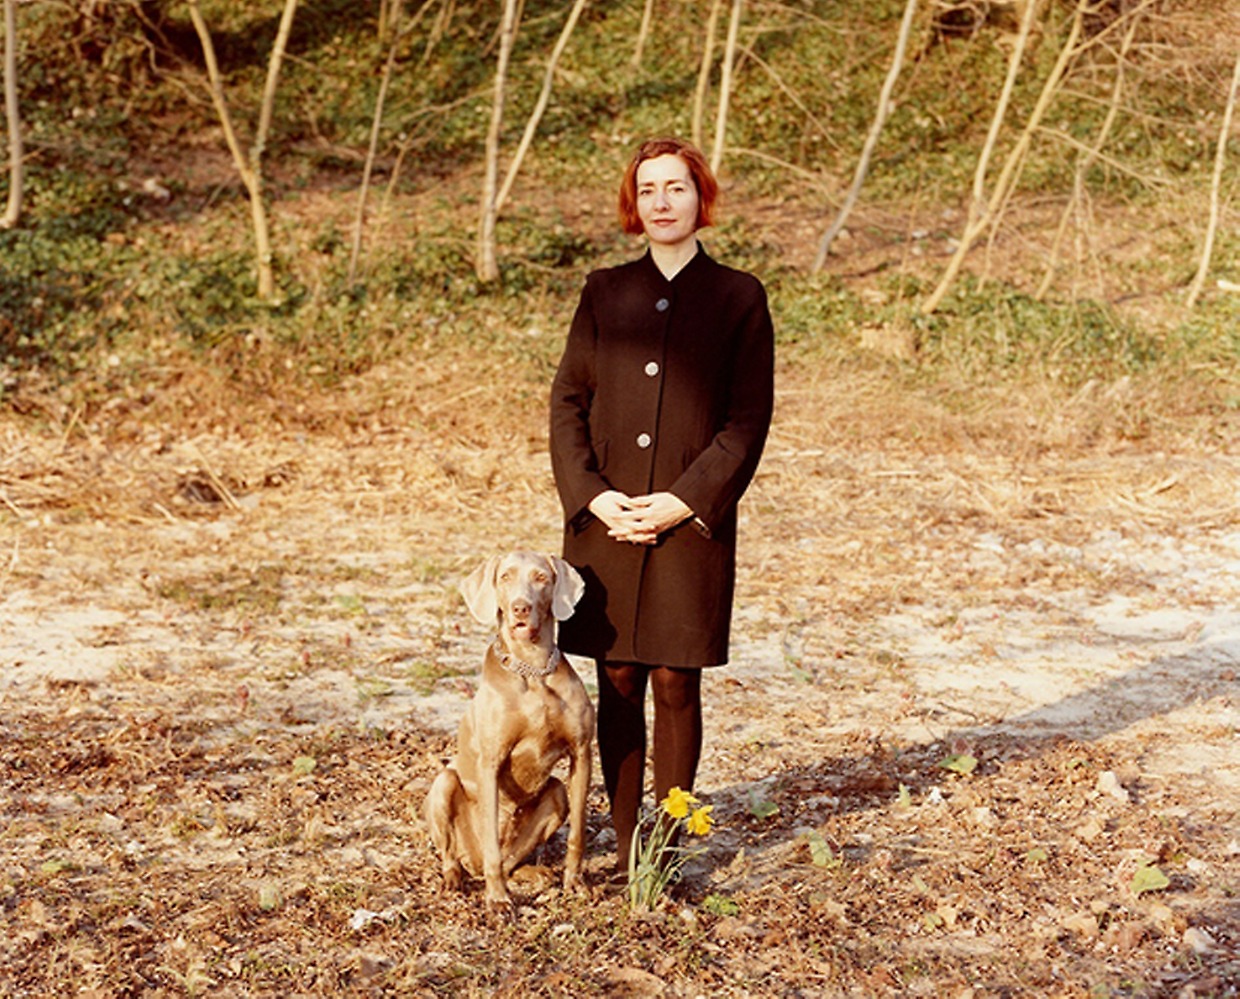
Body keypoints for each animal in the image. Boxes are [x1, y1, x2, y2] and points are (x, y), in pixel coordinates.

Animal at [421, 552, 595, 912]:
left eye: (541, 578)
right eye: (505, 577)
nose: (520, 607)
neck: (533, 671)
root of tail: (469, 863)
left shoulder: (582, 751)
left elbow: (578, 832)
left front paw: (575, 881)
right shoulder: (491, 763)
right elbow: (490, 840)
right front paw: (498, 899)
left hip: (557, 794)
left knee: (510, 859)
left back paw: (536, 875)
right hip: (444, 784)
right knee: (456, 855)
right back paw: (454, 880)